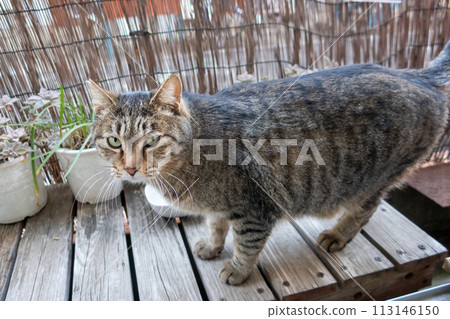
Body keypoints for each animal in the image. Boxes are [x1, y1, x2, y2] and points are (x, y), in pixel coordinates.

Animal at [89, 41, 450, 286]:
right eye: (114, 142)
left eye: (151, 141)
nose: (130, 169)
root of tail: (418, 76)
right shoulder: (221, 209)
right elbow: (216, 226)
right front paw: (212, 245)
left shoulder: (255, 208)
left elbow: (246, 244)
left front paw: (238, 269)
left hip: (374, 177)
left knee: (365, 209)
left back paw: (338, 234)